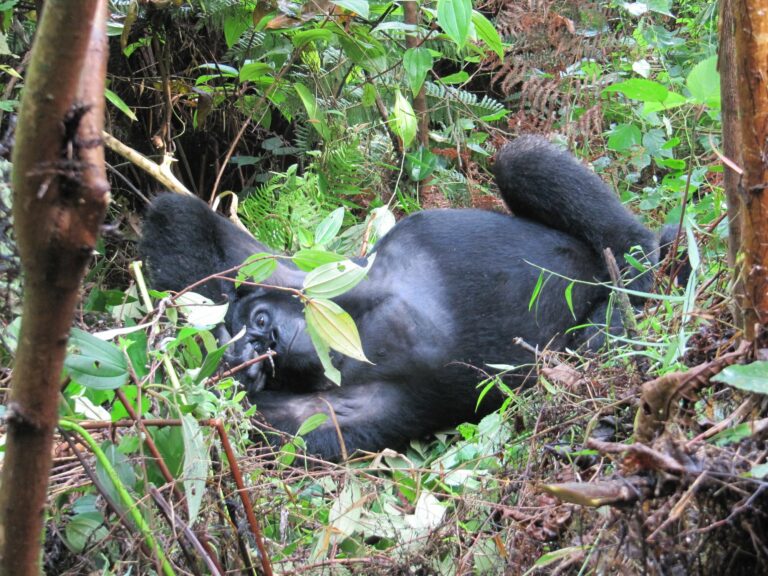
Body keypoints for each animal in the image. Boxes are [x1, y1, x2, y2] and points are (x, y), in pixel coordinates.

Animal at [141, 135, 656, 460]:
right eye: (253, 342)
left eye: (261, 322)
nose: (261, 346)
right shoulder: (333, 412)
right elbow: (272, 436)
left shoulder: (298, 273)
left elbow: (185, 225)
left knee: (520, 161)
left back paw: (634, 267)